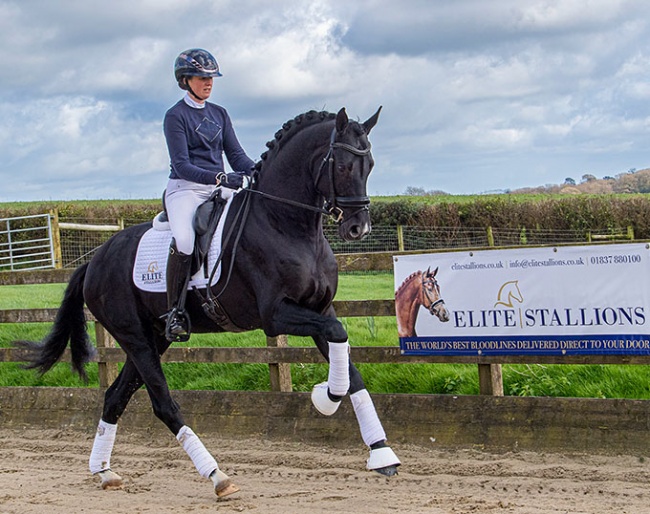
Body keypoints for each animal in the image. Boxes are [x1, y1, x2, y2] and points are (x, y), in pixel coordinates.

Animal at [17, 107, 400, 496]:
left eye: (369, 165)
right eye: (344, 166)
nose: (359, 229)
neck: (284, 223)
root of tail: (94, 261)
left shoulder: (320, 309)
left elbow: (349, 365)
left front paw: (379, 451)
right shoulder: (276, 315)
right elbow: (338, 339)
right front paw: (325, 397)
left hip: (151, 339)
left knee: (115, 396)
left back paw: (104, 471)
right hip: (135, 339)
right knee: (163, 405)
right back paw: (217, 475)